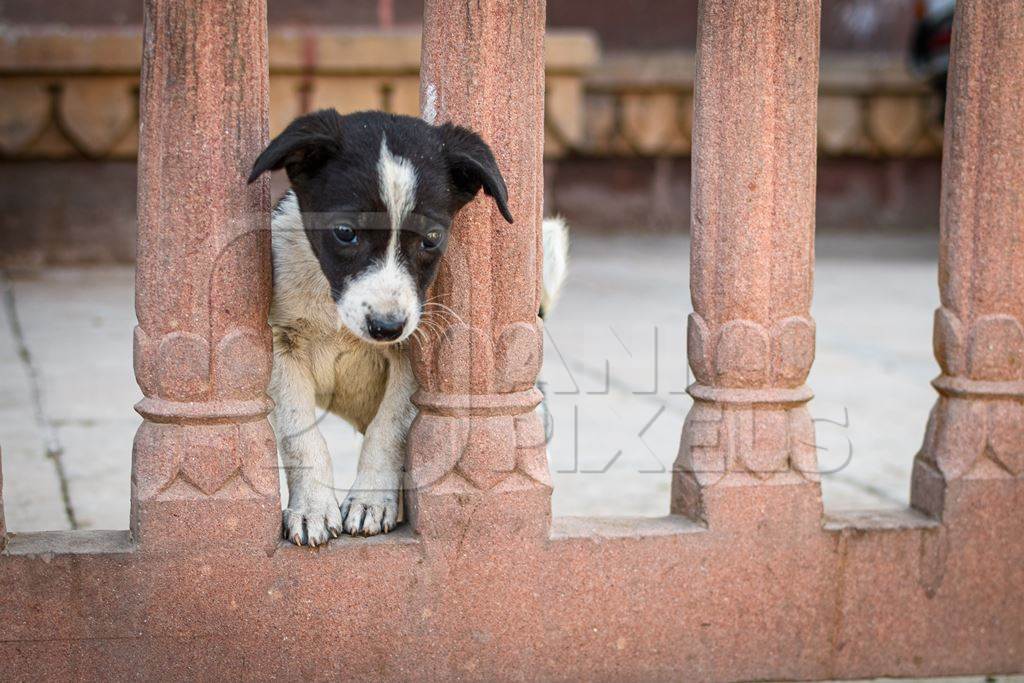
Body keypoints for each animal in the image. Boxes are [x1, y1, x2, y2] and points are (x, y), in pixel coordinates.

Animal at [247, 109, 569, 544]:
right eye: (345, 232)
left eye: (431, 239)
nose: (386, 327)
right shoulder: (283, 347)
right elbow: (301, 435)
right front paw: (312, 506)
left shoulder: (413, 355)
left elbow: (389, 430)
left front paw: (370, 500)